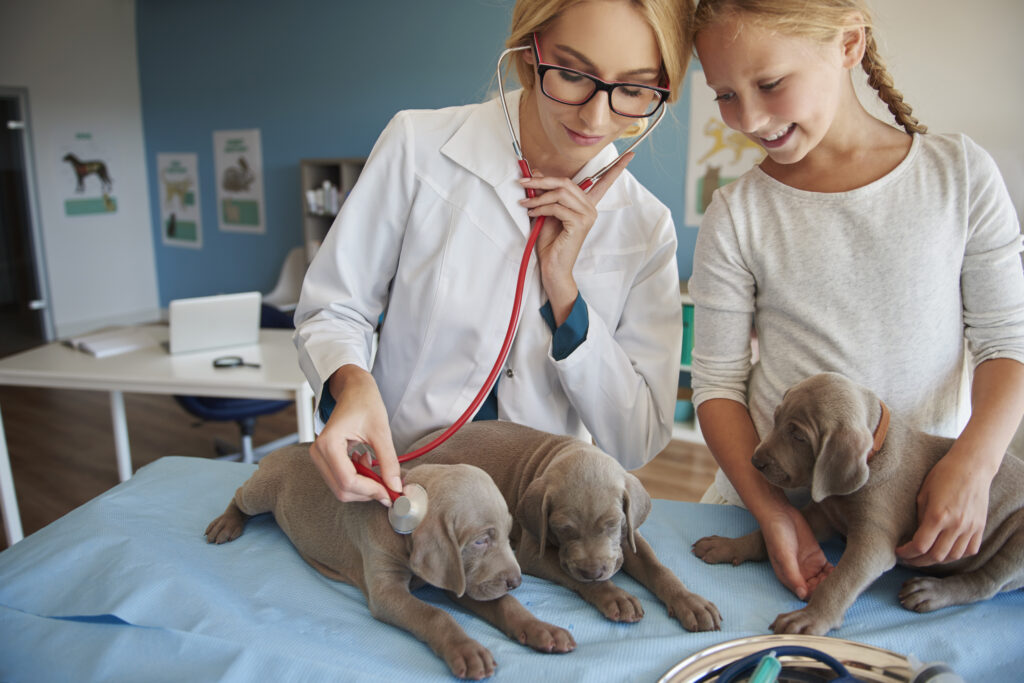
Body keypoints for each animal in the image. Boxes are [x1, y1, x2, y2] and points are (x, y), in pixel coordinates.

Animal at [205, 444, 577, 679]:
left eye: (506, 534)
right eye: (480, 540)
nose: (517, 581)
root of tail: (285, 450)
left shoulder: (457, 576)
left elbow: (504, 604)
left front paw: (541, 629)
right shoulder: (388, 591)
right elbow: (435, 614)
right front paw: (467, 650)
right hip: (261, 493)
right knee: (239, 495)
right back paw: (226, 523)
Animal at [407, 421, 720, 634]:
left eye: (613, 524)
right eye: (563, 529)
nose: (593, 571)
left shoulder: (630, 536)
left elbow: (658, 568)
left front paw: (690, 602)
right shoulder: (533, 554)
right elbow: (580, 579)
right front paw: (616, 596)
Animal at [688, 374, 1024, 634]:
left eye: (799, 436)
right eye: (776, 418)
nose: (755, 462)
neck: (875, 456)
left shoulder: (873, 544)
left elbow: (840, 581)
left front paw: (811, 618)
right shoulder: (824, 515)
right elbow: (767, 534)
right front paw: (728, 545)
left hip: (1015, 538)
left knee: (985, 583)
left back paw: (932, 591)